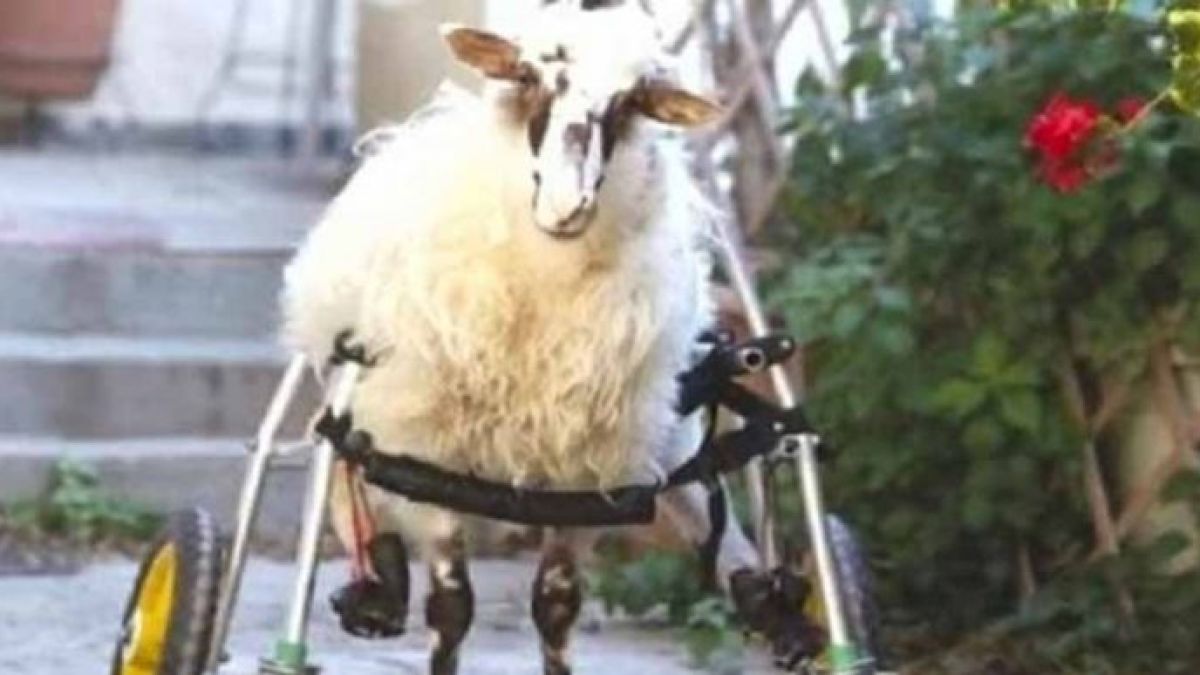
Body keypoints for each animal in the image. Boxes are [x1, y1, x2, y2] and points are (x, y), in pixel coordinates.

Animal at [281, 2, 780, 673]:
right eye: (527, 76)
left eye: (630, 103)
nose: (567, 206)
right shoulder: (429, 458)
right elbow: (452, 608)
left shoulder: (587, 473)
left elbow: (557, 604)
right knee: (343, 475)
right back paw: (376, 592)